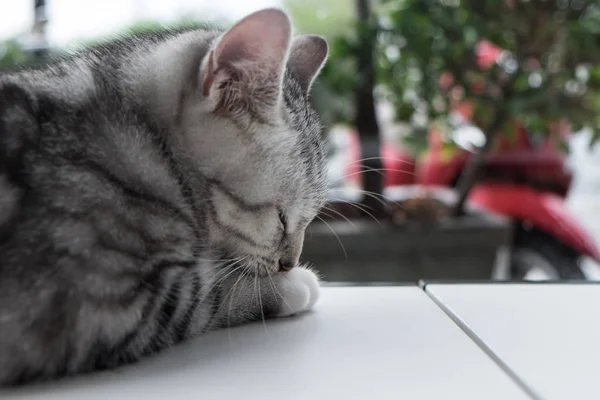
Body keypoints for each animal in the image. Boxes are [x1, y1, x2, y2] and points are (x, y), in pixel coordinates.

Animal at [0, 8, 328, 384]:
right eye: (281, 218)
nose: (288, 264)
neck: (143, 139)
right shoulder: (108, 307)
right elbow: (211, 294)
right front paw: (293, 285)